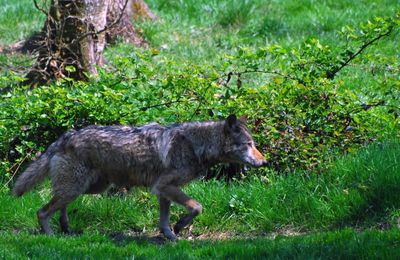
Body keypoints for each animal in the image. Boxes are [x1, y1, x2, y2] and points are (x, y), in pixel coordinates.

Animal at [13, 115, 266, 241]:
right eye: (248, 145)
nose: (264, 162)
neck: (196, 145)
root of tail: (65, 136)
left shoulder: (163, 190)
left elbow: (164, 219)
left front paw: (170, 236)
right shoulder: (165, 186)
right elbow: (197, 207)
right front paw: (179, 227)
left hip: (89, 187)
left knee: (59, 205)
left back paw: (66, 228)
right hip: (77, 187)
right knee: (43, 211)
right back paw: (52, 236)